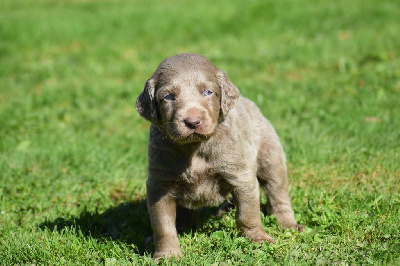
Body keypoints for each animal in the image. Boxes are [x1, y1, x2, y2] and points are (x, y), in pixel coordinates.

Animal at [136, 53, 302, 260]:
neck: (195, 148)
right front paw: (167, 255)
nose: (193, 122)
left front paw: (257, 239)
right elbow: (163, 225)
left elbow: (248, 213)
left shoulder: (240, 175)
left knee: (278, 193)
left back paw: (288, 224)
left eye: (208, 92)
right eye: (168, 97)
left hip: (270, 156)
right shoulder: (159, 184)